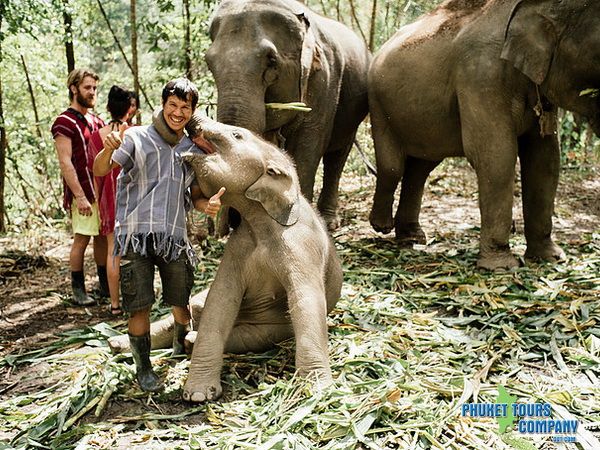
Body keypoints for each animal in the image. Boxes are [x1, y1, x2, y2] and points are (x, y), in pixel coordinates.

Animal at [108, 114, 342, 402]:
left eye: (236, 135)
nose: (191, 118)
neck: (260, 218)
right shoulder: (238, 245)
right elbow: (220, 298)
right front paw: (198, 395)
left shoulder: (303, 246)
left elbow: (305, 299)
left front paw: (317, 391)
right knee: (195, 307)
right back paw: (118, 343)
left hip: (271, 329)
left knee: (249, 337)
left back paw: (188, 341)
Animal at [205, 0, 370, 230]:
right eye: (208, 62)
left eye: (272, 60)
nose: (228, 224)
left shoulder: (324, 81)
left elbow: (307, 148)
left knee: (337, 156)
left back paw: (329, 221)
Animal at [368, 0, 600, 270]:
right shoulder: (480, 75)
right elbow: (496, 155)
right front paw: (501, 266)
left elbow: (545, 159)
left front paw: (551, 258)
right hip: (378, 104)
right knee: (392, 167)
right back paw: (382, 226)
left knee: (421, 167)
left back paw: (412, 237)